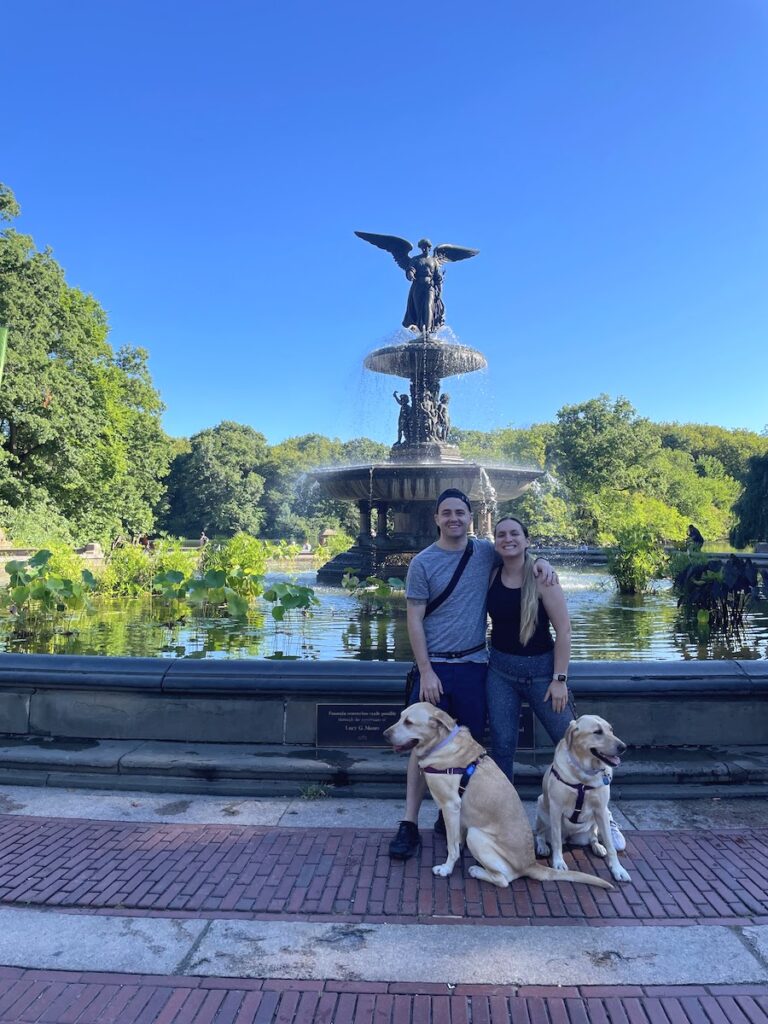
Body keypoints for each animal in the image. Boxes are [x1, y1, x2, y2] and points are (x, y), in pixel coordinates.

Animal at [385, 704, 614, 888]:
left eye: (408, 722)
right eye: (400, 717)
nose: (385, 734)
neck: (442, 743)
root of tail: (531, 864)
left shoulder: (450, 806)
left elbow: (452, 847)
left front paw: (446, 868)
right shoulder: (458, 814)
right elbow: (456, 840)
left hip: (477, 835)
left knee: (504, 879)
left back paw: (477, 871)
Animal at [536, 716, 630, 884]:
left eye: (611, 730)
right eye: (597, 732)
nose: (623, 747)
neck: (584, 776)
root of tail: (569, 837)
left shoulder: (601, 809)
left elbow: (611, 845)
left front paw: (618, 870)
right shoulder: (556, 807)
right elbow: (556, 840)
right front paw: (558, 862)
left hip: (592, 826)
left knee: (593, 836)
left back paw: (598, 847)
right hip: (541, 806)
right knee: (541, 834)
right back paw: (542, 846)